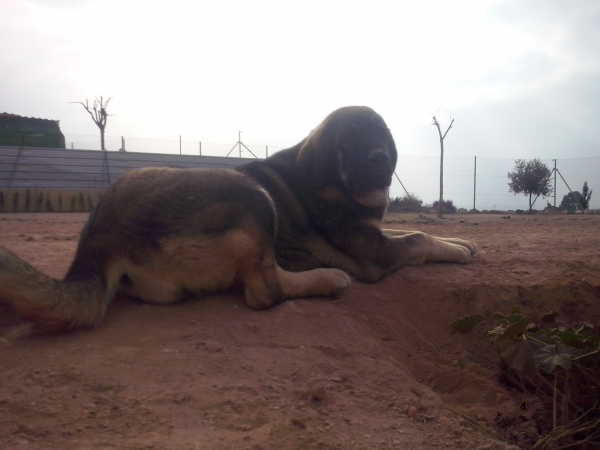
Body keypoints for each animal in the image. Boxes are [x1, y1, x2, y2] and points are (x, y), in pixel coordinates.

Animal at [1, 104, 478, 330]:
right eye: (351, 139)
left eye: (381, 134)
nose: (379, 159)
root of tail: (100, 236)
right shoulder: (373, 254)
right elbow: (417, 237)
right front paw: (456, 250)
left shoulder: (376, 232)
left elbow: (408, 227)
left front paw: (463, 242)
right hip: (254, 196)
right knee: (265, 292)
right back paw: (327, 278)